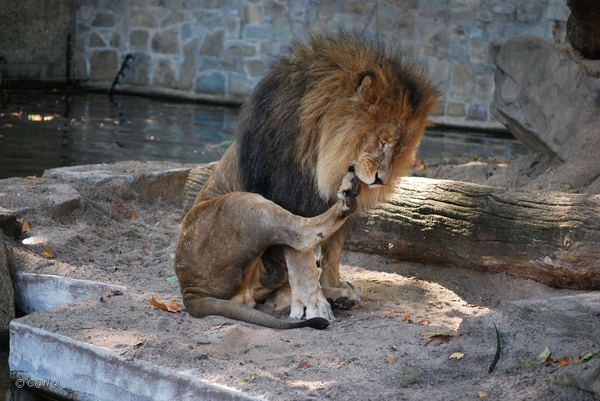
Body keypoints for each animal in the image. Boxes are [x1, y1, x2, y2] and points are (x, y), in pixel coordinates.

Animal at [176, 31, 438, 330]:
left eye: (401, 150)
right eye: (383, 142)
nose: (381, 180)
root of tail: (190, 293)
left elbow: (333, 252)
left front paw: (333, 286)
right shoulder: (291, 192)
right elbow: (301, 258)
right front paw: (312, 304)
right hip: (243, 205)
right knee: (299, 235)